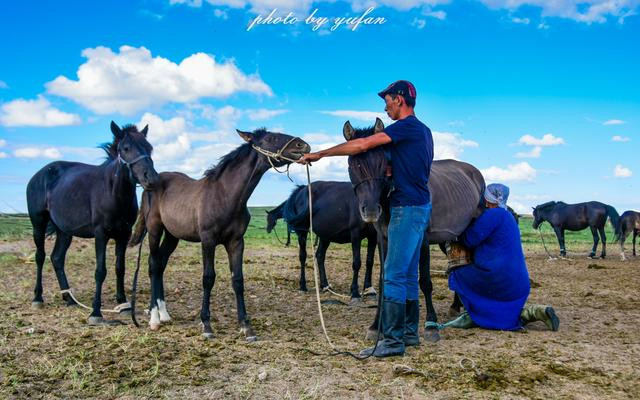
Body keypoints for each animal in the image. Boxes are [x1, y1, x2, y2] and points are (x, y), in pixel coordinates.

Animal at [26, 122, 159, 324]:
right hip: (38, 224)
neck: (113, 193)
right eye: (125, 149)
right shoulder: (100, 234)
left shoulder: (123, 235)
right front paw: (96, 312)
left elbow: (120, 268)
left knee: (57, 258)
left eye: (149, 148)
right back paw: (38, 298)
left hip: (65, 231)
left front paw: (124, 304)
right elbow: (100, 271)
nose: (151, 178)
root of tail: (38, 175)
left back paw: (69, 299)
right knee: (40, 256)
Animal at [129, 129, 308, 340]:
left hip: (172, 235)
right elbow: (208, 278)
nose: (303, 145)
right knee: (153, 264)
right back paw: (154, 317)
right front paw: (206, 325)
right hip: (155, 230)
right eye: (271, 138)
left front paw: (246, 326)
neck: (225, 196)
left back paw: (164, 314)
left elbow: (238, 280)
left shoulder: (236, 242)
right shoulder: (208, 241)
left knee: (160, 264)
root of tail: (149, 184)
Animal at [344, 117, 484, 342]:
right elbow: (384, 280)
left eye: (382, 163)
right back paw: (456, 305)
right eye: (353, 164)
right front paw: (376, 326)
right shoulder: (384, 240)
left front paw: (431, 325)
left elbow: (424, 281)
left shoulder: (423, 241)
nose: (372, 210)